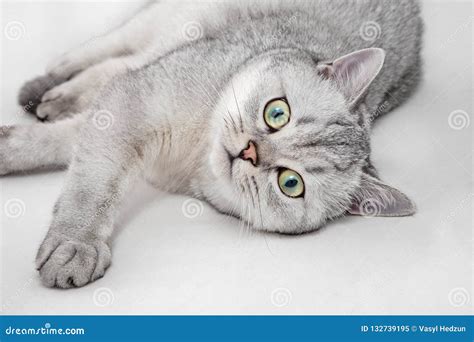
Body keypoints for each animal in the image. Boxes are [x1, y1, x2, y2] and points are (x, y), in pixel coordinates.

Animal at [0, 0, 422, 288]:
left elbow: (65, 144)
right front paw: (77, 242)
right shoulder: (134, 101)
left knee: (111, 68)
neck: (194, 151)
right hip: (163, 19)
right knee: (102, 52)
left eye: (291, 183)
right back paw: (46, 89)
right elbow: (95, 185)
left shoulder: (116, 110)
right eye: (277, 113)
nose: (249, 151)